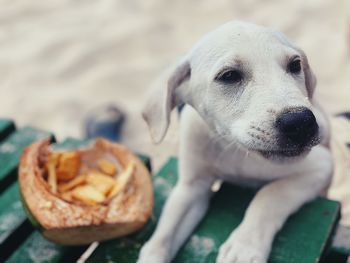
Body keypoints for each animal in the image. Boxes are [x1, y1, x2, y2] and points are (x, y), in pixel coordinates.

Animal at [138, 21, 332, 263]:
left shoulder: (320, 166)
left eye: (295, 65)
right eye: (229, 75)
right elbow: (162, 235)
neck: (234, 149)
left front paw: (243, 247)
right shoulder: (191, 187)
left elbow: (269, 194)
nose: (301, 123)